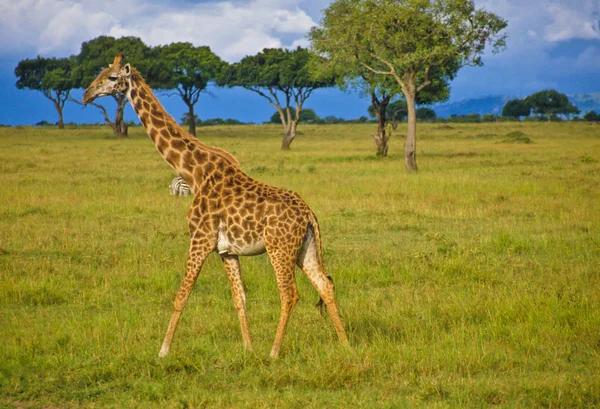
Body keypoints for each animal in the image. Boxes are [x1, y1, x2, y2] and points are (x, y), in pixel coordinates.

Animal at [82, 54, 350, 356]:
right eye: (100, 73)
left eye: (113, 78)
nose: (86, 94)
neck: (194, 173)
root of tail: (309, 214)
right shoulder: (226, 250)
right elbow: (239, 298)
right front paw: (248, 349)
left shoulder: (200, 239)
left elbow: (181, 295)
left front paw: (163, 351)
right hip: (305, 248)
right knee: (325, 285)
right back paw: (345, 345)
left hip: (278, 248)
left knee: (290, 293)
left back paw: (274, 352)